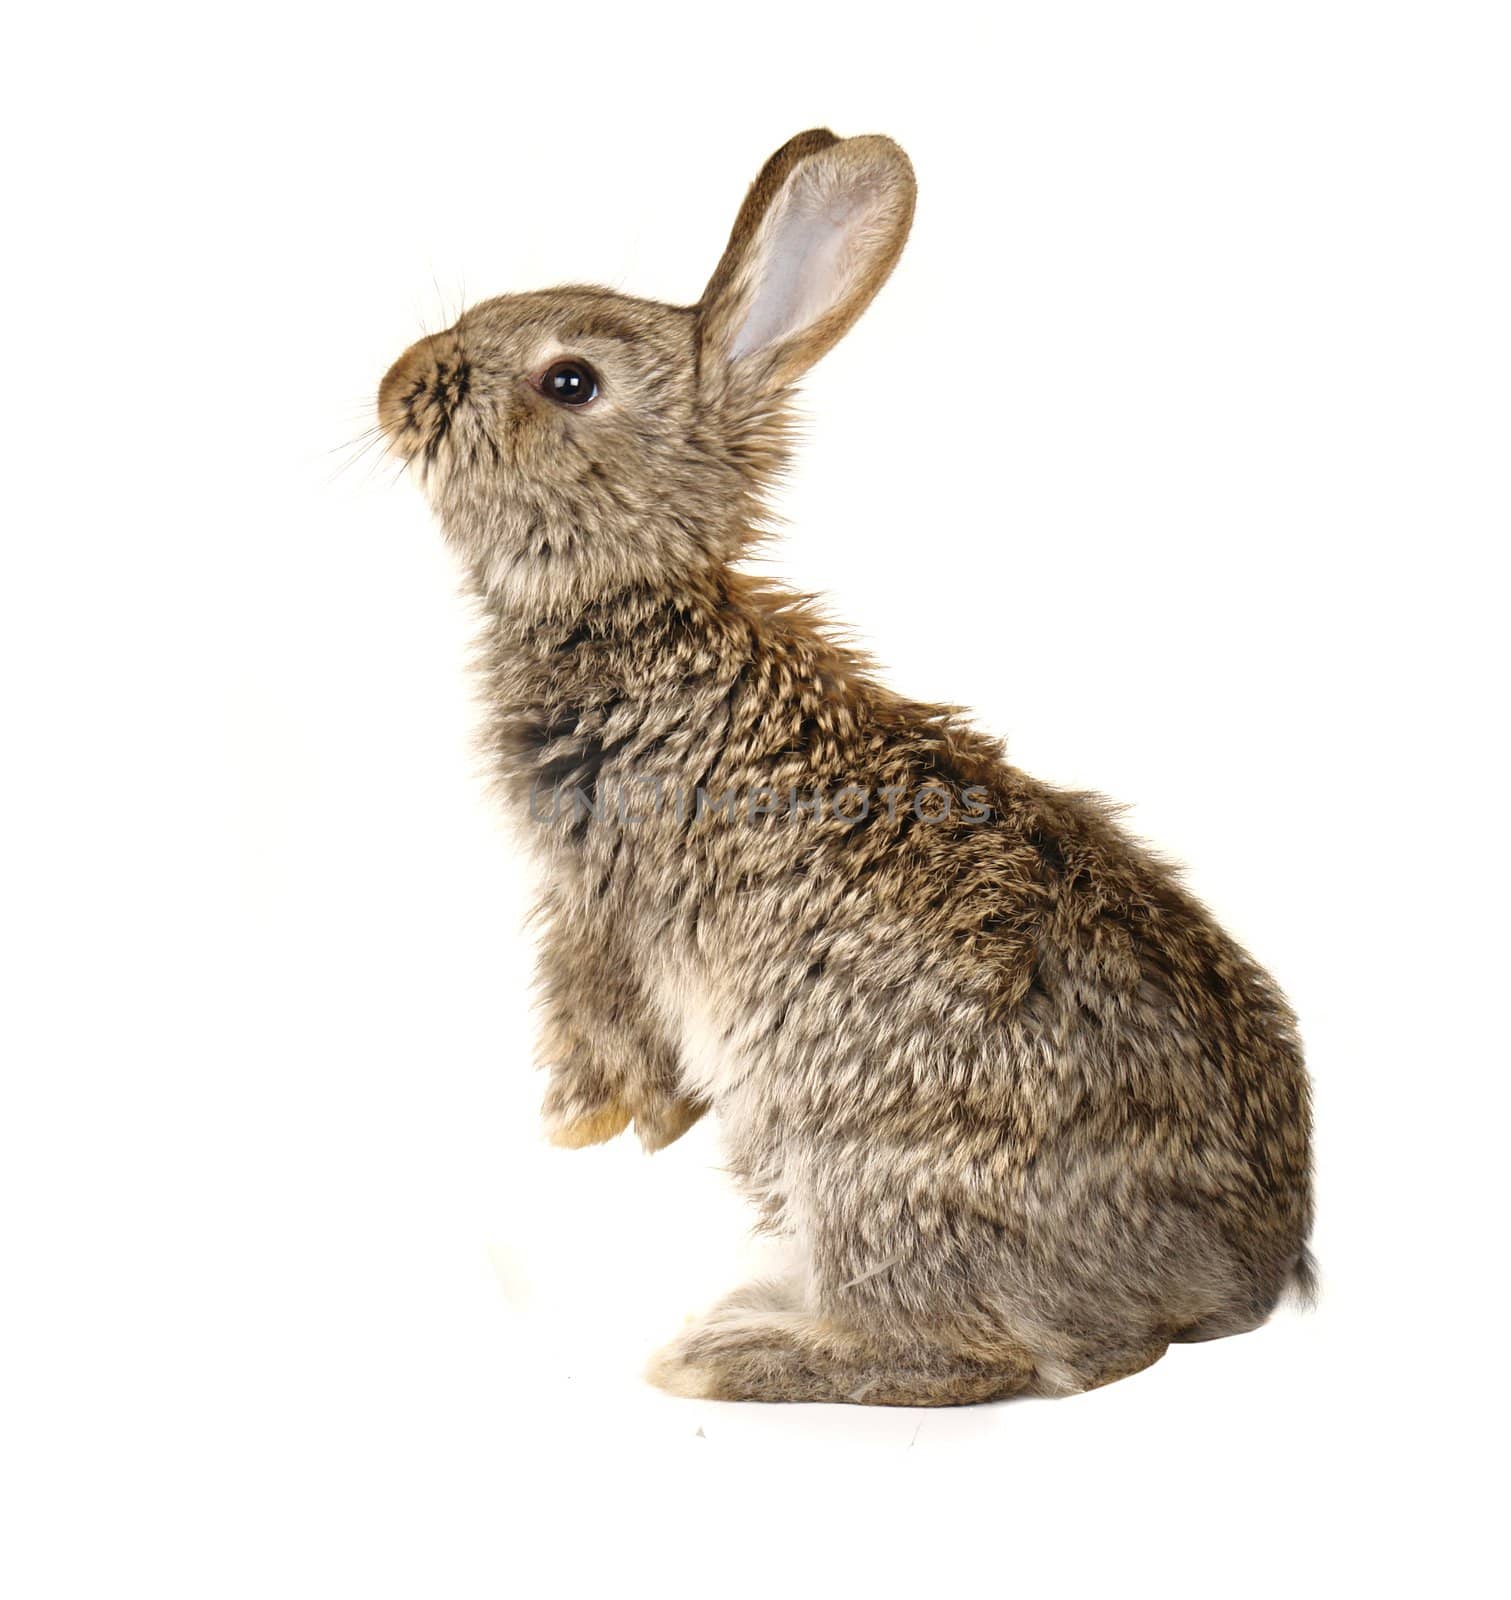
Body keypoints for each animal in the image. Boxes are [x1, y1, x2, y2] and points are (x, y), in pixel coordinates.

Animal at [374, 128, 1312, 1401]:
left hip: (864, 1157)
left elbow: (595, 1013)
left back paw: (730, 1351)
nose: (396, 385)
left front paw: (581, 1125)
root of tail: (1236, 1280)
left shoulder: (605, 893)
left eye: (567, 381)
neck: (643, 612)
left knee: (980, 1355)